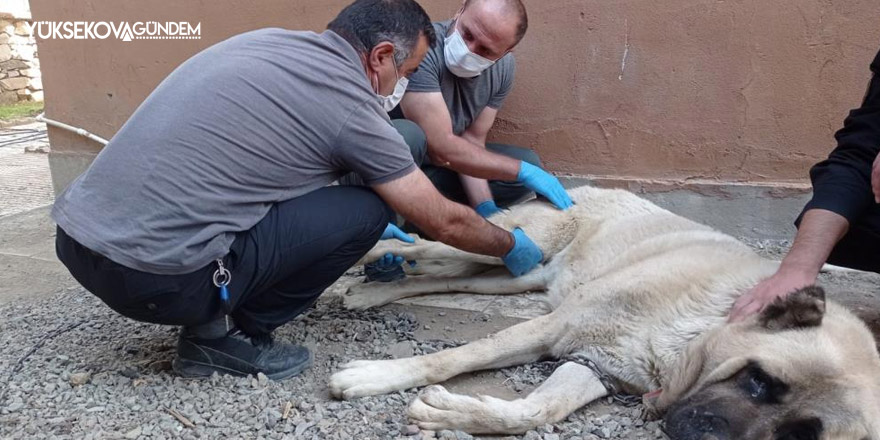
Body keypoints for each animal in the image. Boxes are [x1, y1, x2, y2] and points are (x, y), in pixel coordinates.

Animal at [330, 186, 880, 440]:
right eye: (759, 380)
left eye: (798, 437)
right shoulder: (557, 327)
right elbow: (456, 356)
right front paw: (377, 376)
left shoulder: (596, 364)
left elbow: (536, 410)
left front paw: (456, 413)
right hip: (506, 241)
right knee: (421, 242)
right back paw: (371, 255)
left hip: (515, 274)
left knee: (446, 275)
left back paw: (370, 295)